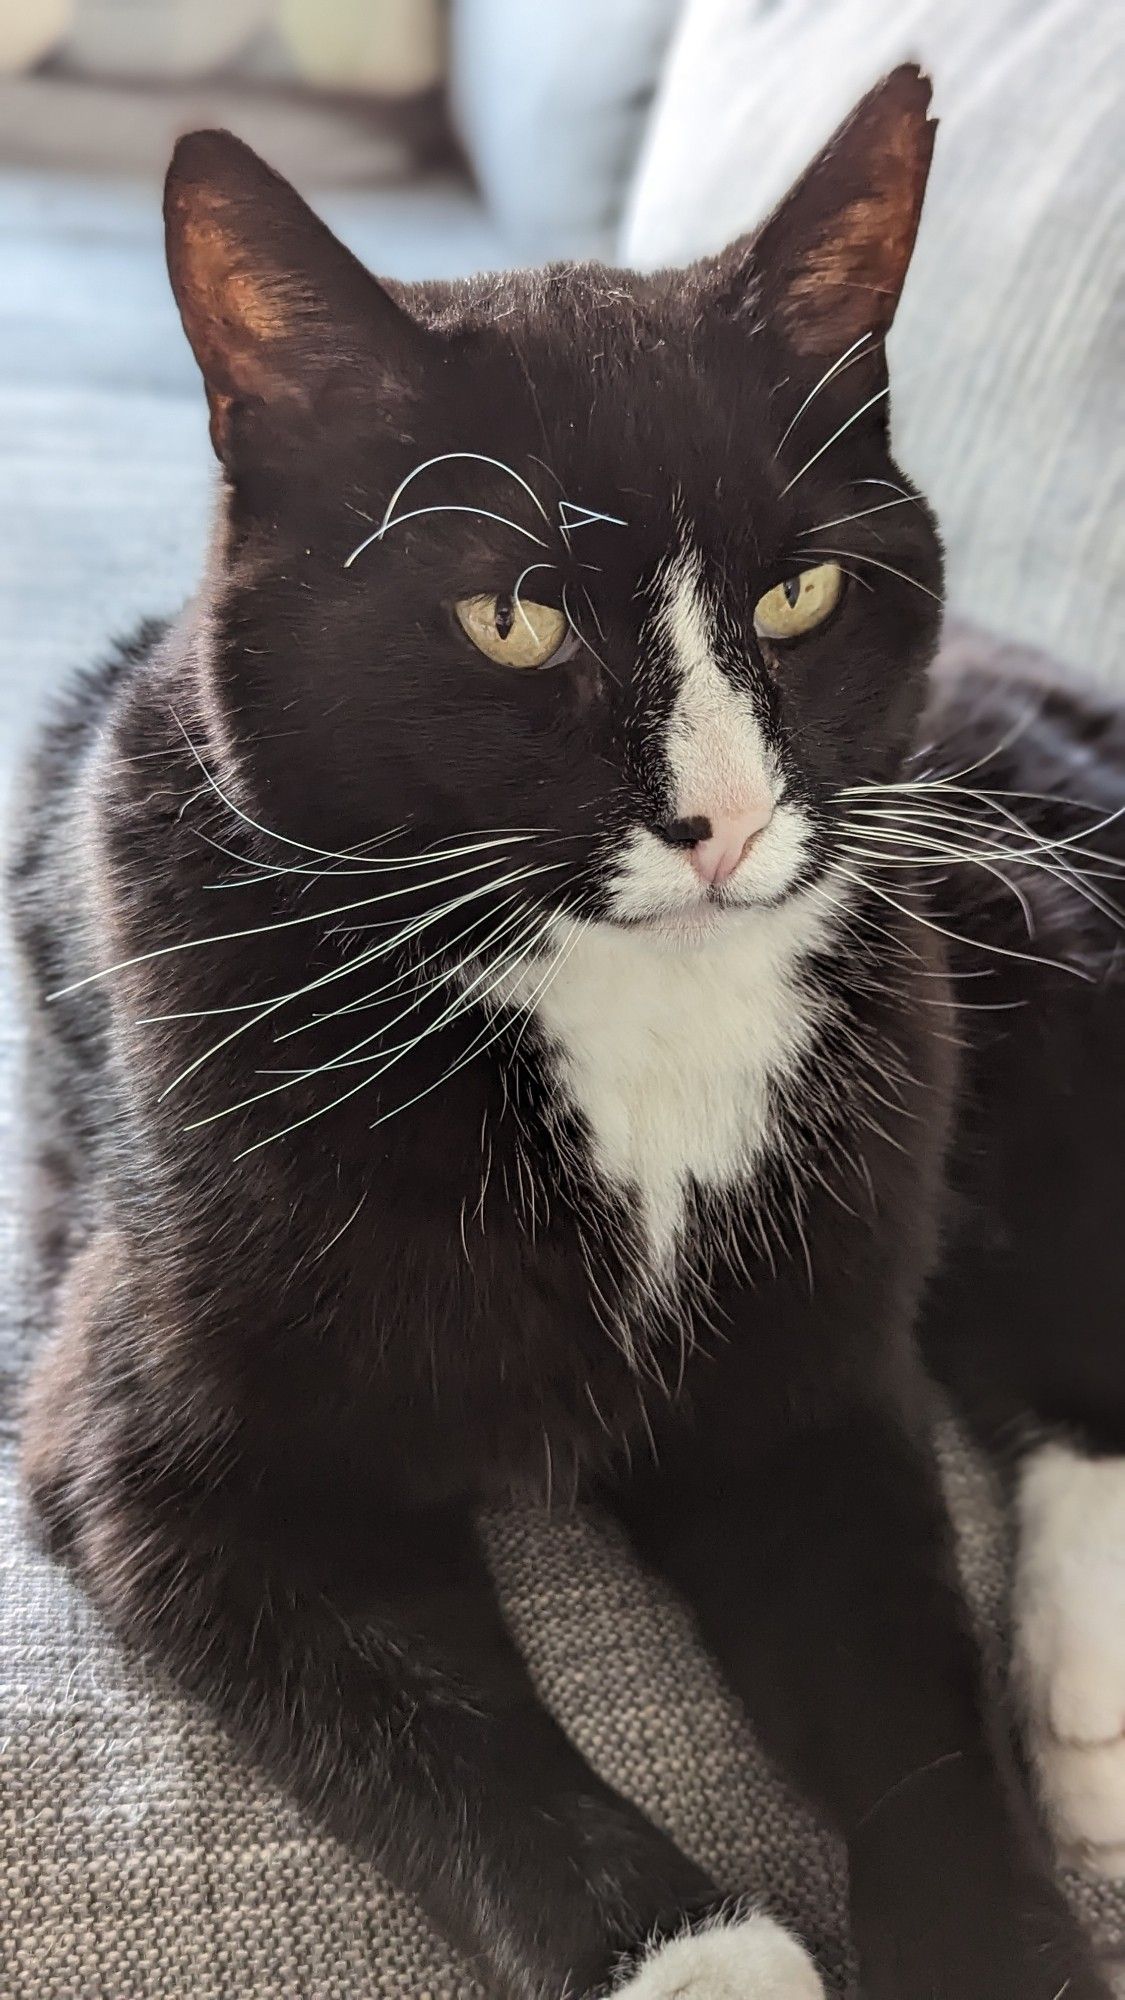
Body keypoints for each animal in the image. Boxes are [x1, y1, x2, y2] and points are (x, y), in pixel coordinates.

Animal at [10, 62, 1120, 2000]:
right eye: (511, 614)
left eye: (801, 595)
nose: (723, 822)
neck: (627, 1017)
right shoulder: (161, 1465)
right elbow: (446, 1731)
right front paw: (715, 1964)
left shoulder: (804, 1374)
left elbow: (912, 1688)